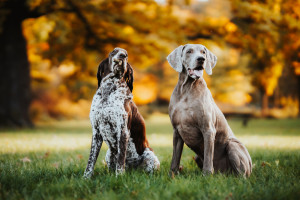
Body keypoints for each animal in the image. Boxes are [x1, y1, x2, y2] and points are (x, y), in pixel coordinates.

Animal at [168, 43, 252, 177]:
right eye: (189, 51)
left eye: (203, 52)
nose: (201, 59)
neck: (187, 89)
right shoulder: (176, 131)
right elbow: (175, 158)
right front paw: (172, 175)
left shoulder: (208, 129)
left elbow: (208, 155)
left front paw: (206, 175)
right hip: (197, 157)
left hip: (233, 145)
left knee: (242, 174)